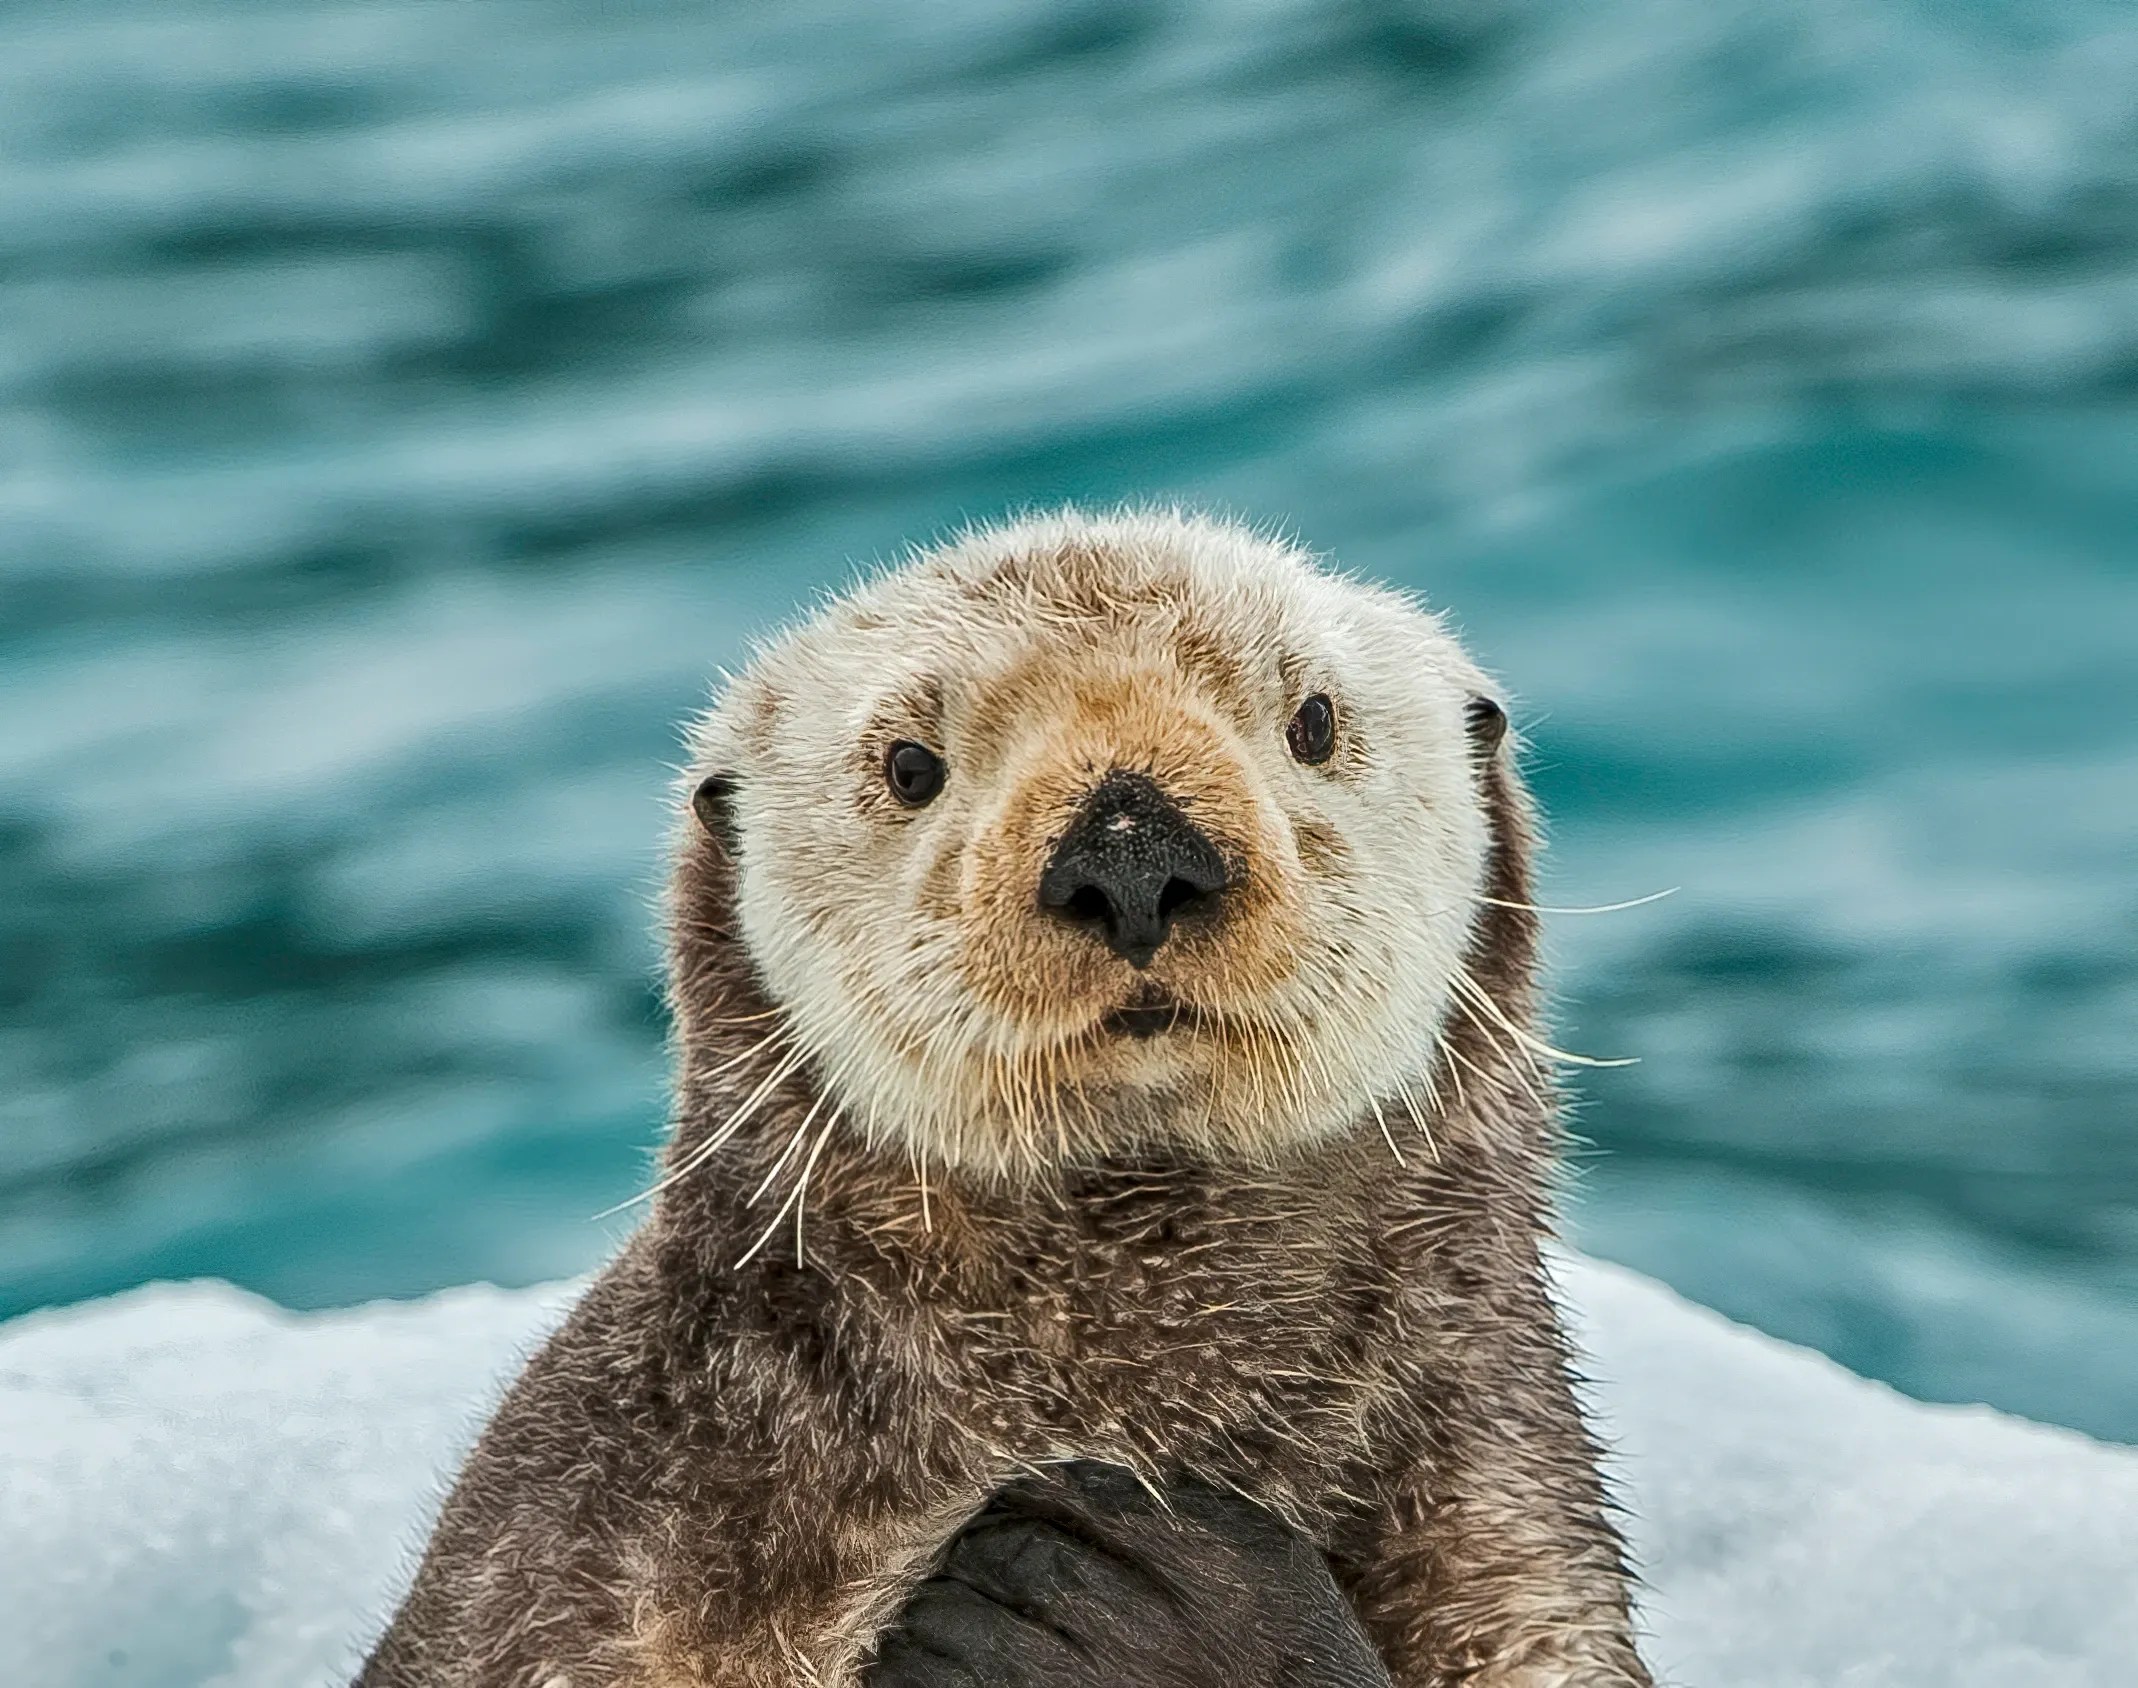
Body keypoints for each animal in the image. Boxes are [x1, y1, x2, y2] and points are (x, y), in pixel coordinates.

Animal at [358, 510, 1651, 1687]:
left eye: (1315, 720)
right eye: (907, 765)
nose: (1130, 851)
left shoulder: (1506, 1538)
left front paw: (1125, 1588)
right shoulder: (586, 1539)